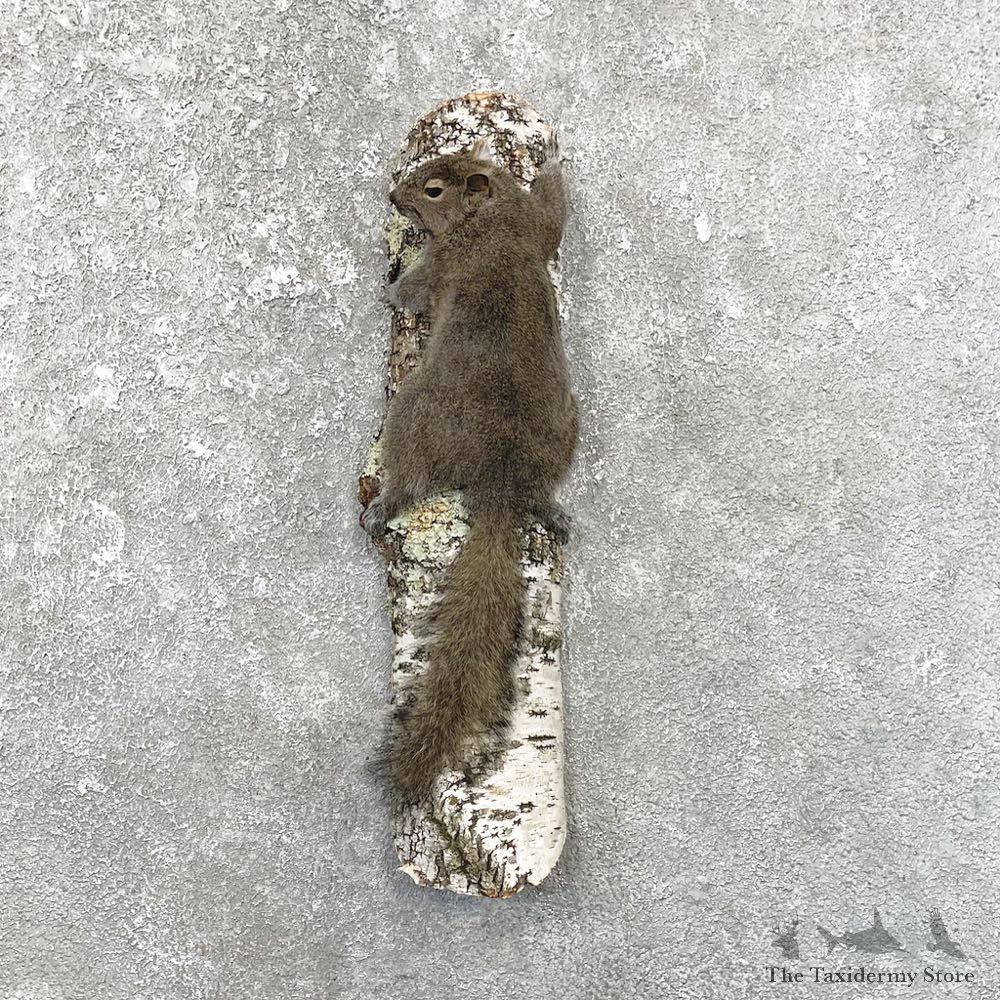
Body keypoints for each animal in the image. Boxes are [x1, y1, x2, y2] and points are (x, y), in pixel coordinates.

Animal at [361, 140, 579, 801]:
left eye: (433, 190)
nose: (393, 196)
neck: (493, 216)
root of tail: (500, 481)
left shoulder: (444, 261)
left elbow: (409, 294)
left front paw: (388, 280)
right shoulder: (537, 226)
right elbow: (556, 216)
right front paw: (553, 161)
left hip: (413, 414)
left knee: (410, 475)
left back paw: (384, 503)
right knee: (542, 493)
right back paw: (551, 511)